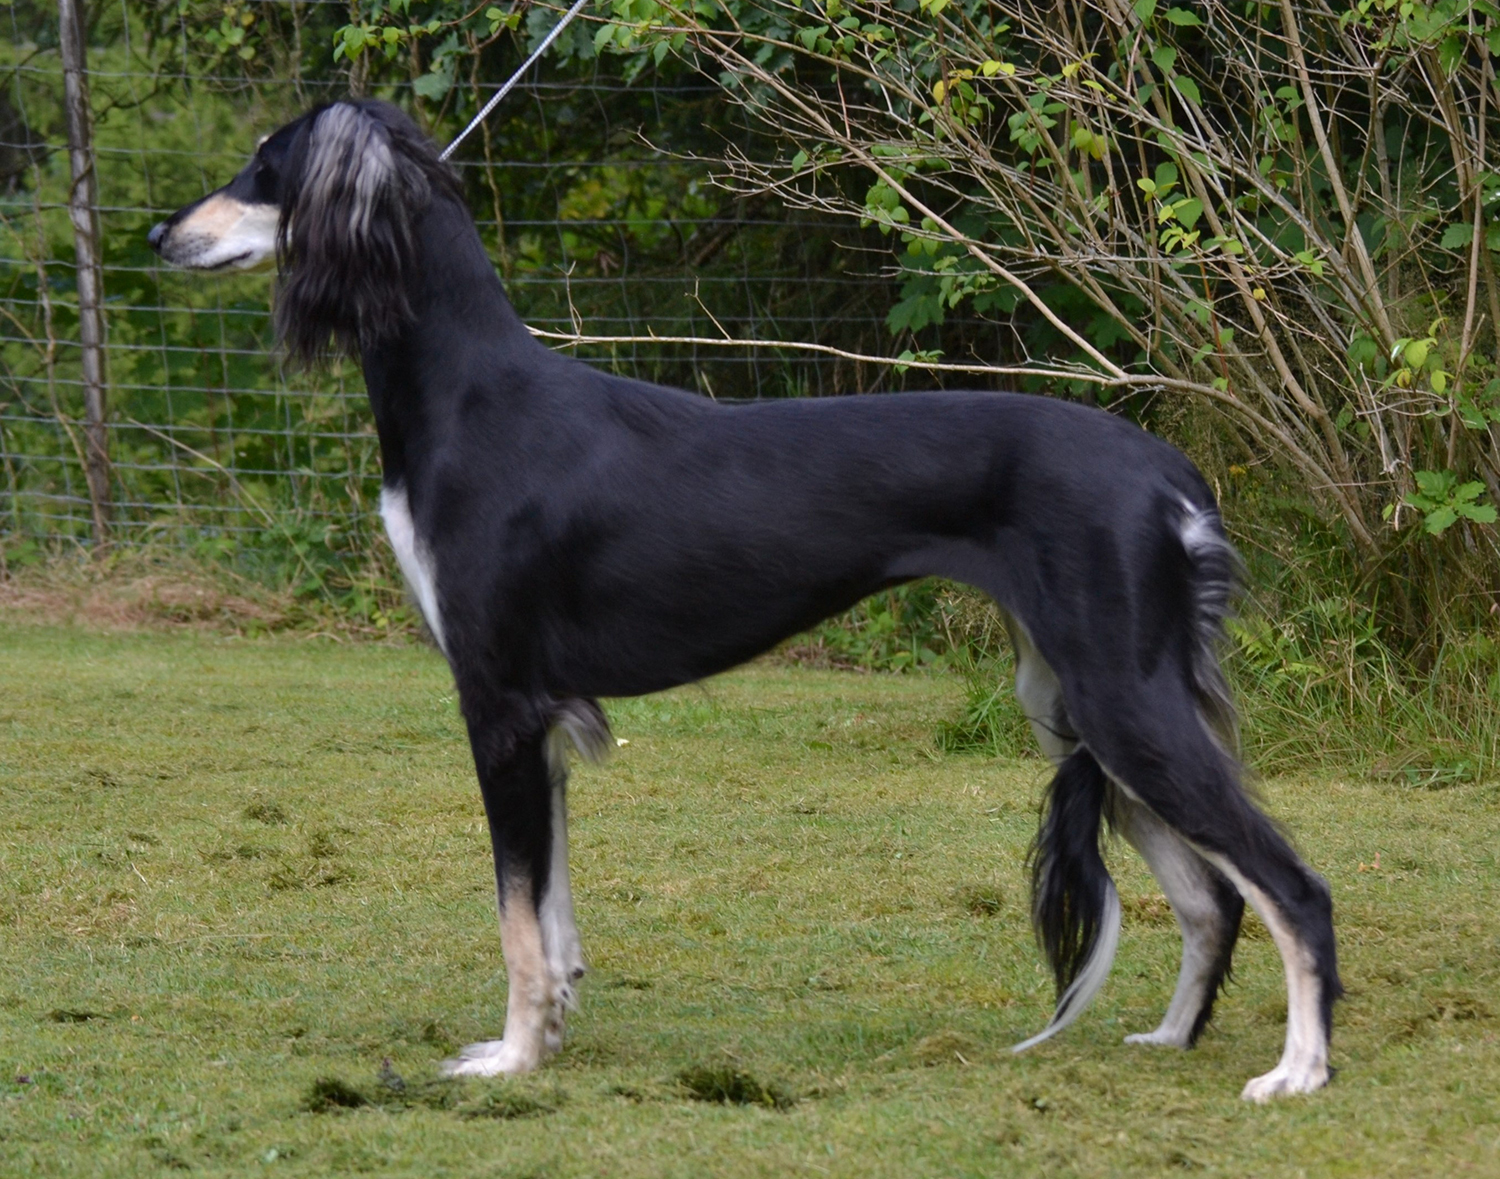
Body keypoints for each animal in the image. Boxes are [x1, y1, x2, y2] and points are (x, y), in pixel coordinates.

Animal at [152, 99, 1344, 1092]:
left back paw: (1299, 1071)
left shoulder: (498, 700)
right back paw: (1171, 1039)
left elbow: (515, 915)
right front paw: (551, 1029)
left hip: (1120, 698)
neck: (468, 391)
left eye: (264, 167)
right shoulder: (545, 715)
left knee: (1290, 883)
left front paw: (515, 1059)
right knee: (1211, 893)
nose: (161, 237)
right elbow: (554, 909)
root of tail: (1170, 471)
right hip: (1079, 705)